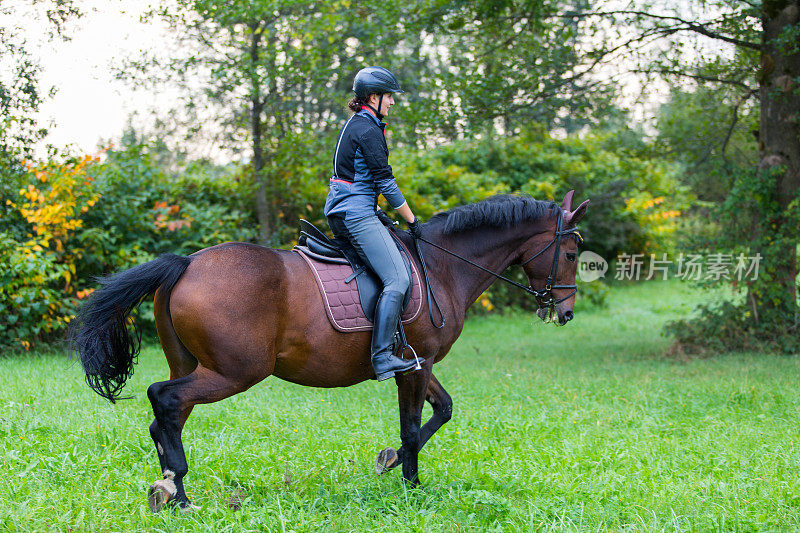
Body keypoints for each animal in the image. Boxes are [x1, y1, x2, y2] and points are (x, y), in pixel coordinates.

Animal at [73, 190, 588, 508]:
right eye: (571, 253)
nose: (565, 312)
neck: (441, 265)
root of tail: (186, 264)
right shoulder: (415, 365)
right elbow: (411, 427)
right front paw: (410, 485)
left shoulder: (416, 362)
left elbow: (441, 411)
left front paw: (390, 463)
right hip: (233, 372)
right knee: (164, 397)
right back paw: (177, 492)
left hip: (196, 364)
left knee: (167, 416)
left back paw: (168, 486)